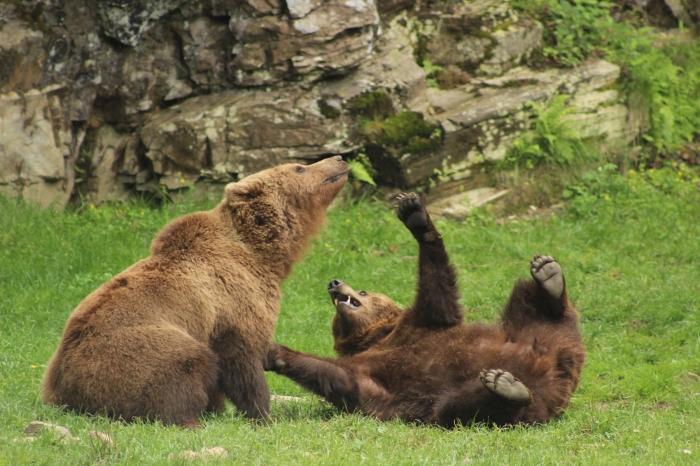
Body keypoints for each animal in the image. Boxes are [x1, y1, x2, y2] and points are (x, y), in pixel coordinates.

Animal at [42, 156, 348, 426]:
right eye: (299, 167)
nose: (340, 158)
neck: (262, 253)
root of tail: (63, 394)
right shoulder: (233, 301)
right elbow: (242, 361)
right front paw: (261, 413)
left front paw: (221, 409)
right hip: (130, 353)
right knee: (182, 365)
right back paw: (189, 420)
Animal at [266, 193, 584, 426]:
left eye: (364, 291)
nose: (334, 282)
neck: (378, 337)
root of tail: (556, 377)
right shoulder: (372, 372)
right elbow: (343, 379)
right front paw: (276, 353)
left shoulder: (422, 321)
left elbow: (437, 293)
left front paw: (415, 217)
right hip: (463, 395)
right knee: (461, 406)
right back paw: (507, 387)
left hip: (531, 332)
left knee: (530, 304)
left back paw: (548, 277)